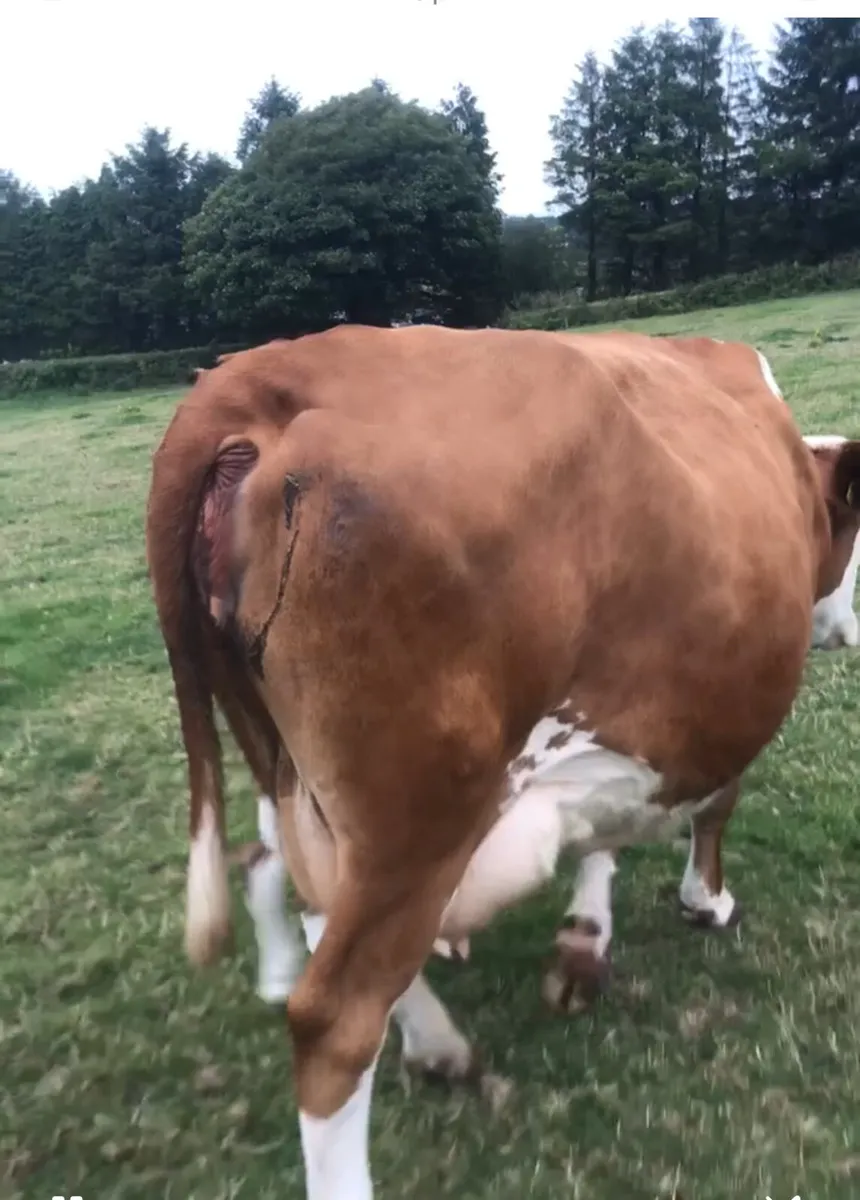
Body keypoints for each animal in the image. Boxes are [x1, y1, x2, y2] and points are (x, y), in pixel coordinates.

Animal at [146, 325, 860, 1199]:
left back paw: (424, 1034)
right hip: (418, 809)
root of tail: (256, 372)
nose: (847, 626)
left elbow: (600, 839)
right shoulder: (725, 705)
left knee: (304, 896)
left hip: (288, 765)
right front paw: (704, 901)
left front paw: (584, 937)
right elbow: (714, 807)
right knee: (336, 1020)